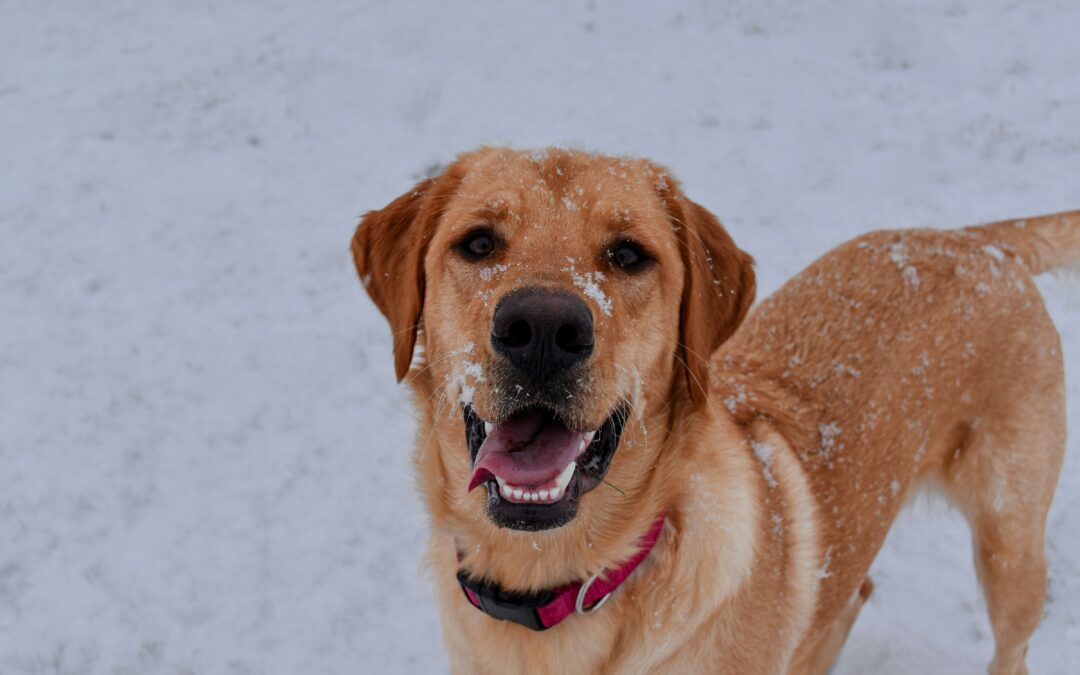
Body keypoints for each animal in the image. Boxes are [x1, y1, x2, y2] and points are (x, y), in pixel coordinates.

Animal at [349, 149, 1075, 673]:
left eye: (628, 254)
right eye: (478, 243)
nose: (543, 328)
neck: (554, 581)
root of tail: (977, 243)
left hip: (1010, 546)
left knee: (1012, 648)